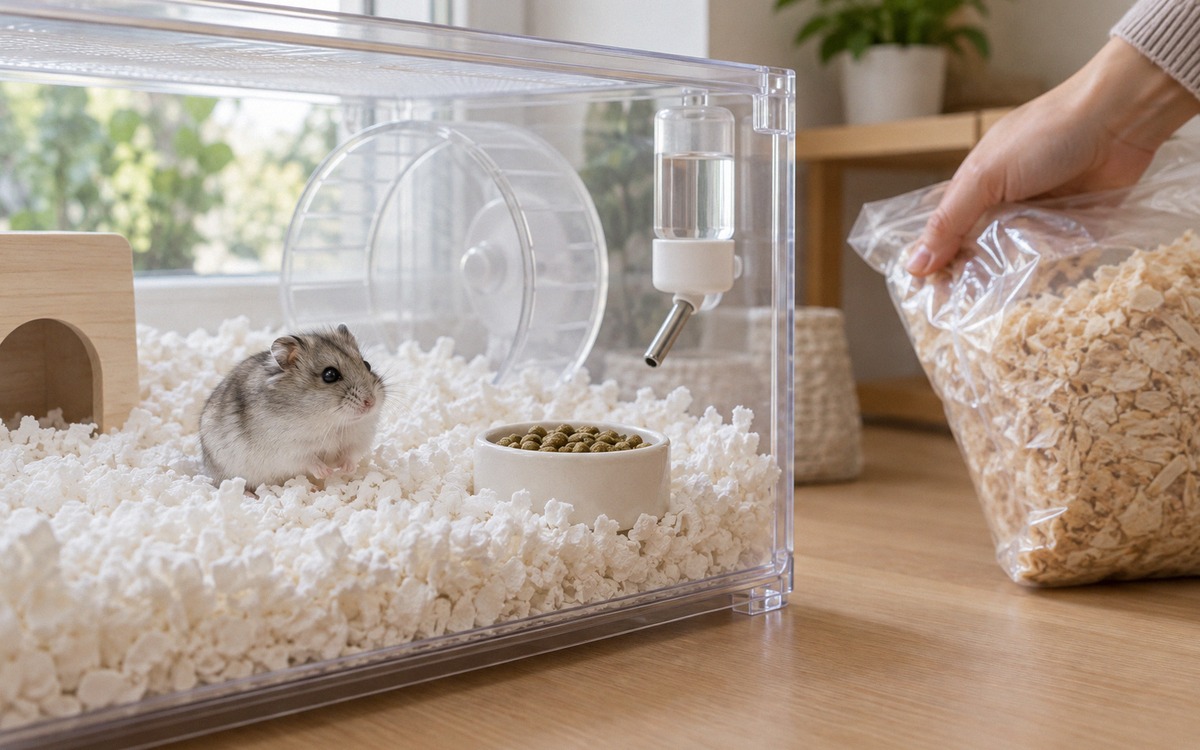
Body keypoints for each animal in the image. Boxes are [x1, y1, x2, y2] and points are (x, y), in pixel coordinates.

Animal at [199, 324, 387, 489]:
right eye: (330, 375)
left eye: (367, 364)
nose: (371, 402)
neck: (333, 423)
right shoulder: (289, 450)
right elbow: (309, 461)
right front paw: (326, 472)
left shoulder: (359, 438)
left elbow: (351, 454)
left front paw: (345, 469)